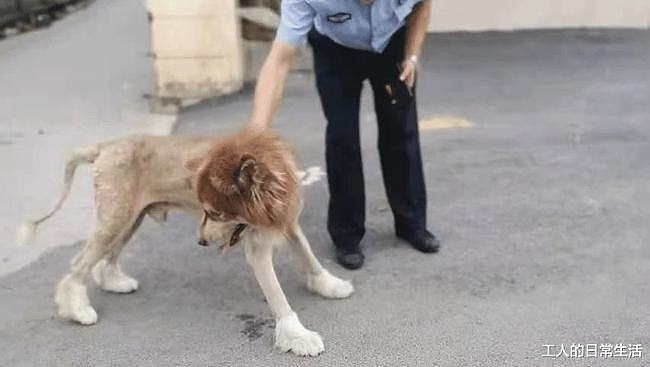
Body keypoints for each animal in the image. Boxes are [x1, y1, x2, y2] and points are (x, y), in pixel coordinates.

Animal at [19, 132, 354, 356]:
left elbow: (309, 256)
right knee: (78, 266)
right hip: (115, 217)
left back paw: (114, 281)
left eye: (215, 212)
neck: (272, 197)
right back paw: (78, 310)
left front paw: (329, 284)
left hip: (129, 219)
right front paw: (297, 336)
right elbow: (278, 298)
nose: (201, 241)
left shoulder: (288, 223)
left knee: (105, 258)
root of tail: (106, 146)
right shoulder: (257, 249)